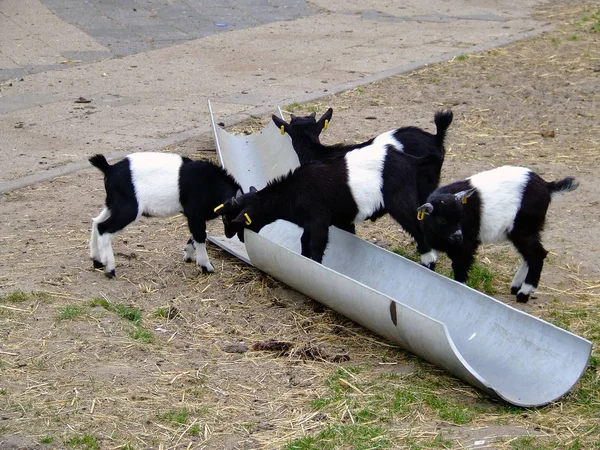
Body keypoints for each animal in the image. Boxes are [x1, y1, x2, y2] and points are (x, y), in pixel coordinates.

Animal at [87, 153, 241, 276]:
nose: (230, 235)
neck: (210, 183)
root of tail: (109, 169)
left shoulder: (194, 216)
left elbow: (196, 234)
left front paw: (188, 254)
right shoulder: (194, 213)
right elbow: (200, 235)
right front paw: (206, 266)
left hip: (112, 204)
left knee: (96, 222)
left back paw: (97, 261)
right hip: (128, 208)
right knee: (104, 228)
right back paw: (109, 269)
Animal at [216, 142, 440, 266]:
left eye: (234, 220)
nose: (230, 236)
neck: (293, 193)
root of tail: (412, 161)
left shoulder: (319, 220)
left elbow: (316, 245)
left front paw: (316, 266)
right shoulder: (313, 223)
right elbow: (304, 243)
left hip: (401, 202)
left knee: (418, 229)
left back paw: (429, 262)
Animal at [414, 165, 580, 302]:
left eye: (461, 217)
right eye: (441, 220)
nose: (458, 236)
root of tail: (547, 186)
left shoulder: (466, 245)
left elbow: (460, 267)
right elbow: (429, 263)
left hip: (522, 227)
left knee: (537, 254)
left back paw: (524, 293)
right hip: (527, 228)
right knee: (529, 254)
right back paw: (516, 286)